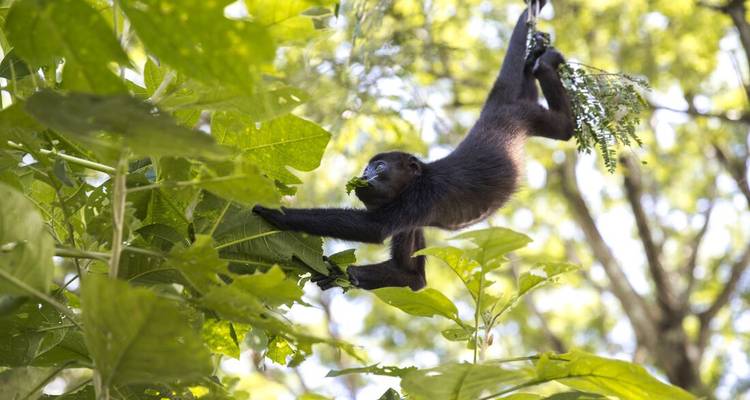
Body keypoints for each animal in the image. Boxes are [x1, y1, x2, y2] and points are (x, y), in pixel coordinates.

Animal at [253, 0, 573, 291]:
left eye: (379, 167)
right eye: (366, 169)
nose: (366, 176)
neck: (417, 178)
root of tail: (493, 112)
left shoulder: (421, 196)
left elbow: (374, 227)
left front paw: (273, 211)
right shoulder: (411, 212)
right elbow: (411, 277)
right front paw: (342, 273)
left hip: (523, 115)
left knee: (564, 129)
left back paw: (545, 65)